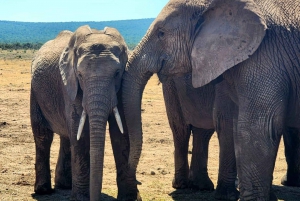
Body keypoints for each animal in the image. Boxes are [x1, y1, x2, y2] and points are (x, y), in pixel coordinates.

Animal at [29, 25, 140, 201]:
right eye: (79, 75)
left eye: (117, 73)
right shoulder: (70, 85)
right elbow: (80, 135)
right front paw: (81, 199)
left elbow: (121, 132)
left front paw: (131, 199)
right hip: (35, 91)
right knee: (43, 136)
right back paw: (43, 190)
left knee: (66, 136)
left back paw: (64, 186)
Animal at [122, 0, 300, 200]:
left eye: (161, 33)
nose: (137, 186)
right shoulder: (263, 61)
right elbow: (248, 126)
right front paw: (229, 196)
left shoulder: (263, 60)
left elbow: (253, 128)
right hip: (171, 87)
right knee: (181, 129)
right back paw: (184, 185)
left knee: (201, 131)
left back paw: (200, 186)